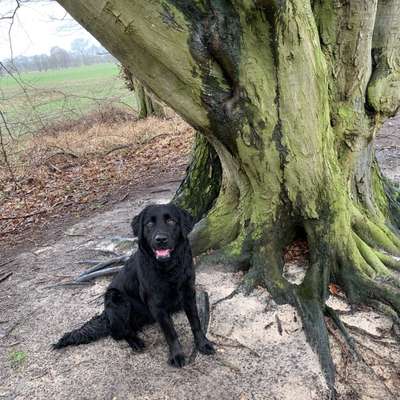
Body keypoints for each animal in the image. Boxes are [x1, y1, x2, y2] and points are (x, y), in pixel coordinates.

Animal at [54, 205, 216, 368]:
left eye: (171, 221)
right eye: (149, 224)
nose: (160, 239)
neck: (168, 268)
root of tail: (105, 314)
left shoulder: (189, 293)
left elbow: (195, 323)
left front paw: (203, 344)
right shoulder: (156, 305)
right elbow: (171, 333)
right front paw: (176, 355)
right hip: (117, 299)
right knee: (118, 333)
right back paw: (135, 342)